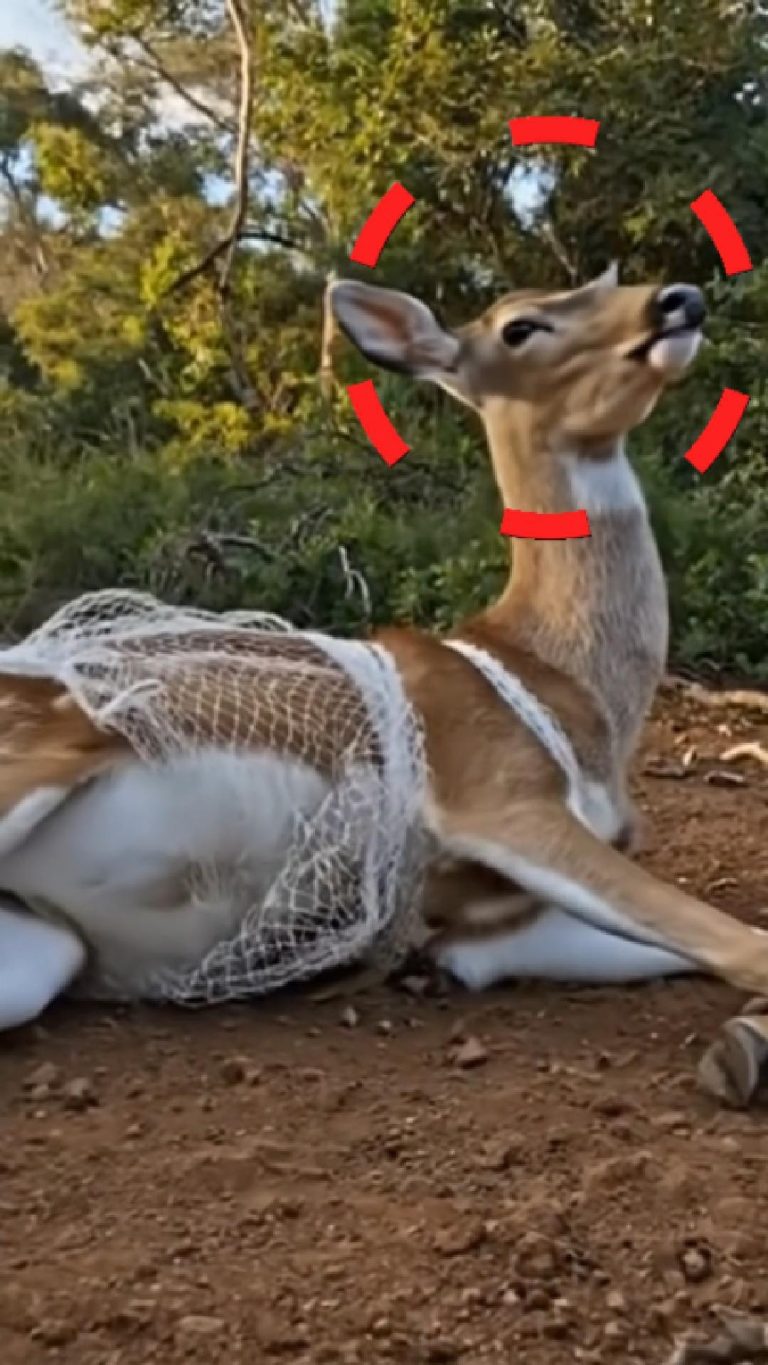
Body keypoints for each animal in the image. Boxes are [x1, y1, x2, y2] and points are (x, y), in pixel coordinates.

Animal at [0, 265, 764, 1101]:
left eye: (604, 281)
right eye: (520, 325)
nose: (678, 299)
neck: (572, 693)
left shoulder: (471, 927)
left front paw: (744, 1044)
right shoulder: (492, 792)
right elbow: (741, 940)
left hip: (43, 949)